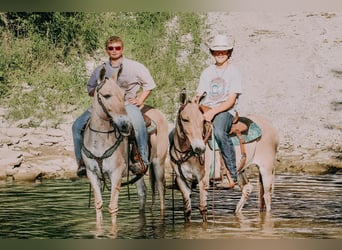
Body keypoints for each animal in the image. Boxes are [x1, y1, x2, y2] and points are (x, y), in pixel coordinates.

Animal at [168, 90, 278, 223]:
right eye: (185, 119)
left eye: (202, 121)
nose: (200, 149)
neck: (185, 152)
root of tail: (271, 126)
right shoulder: (182, 180)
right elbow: (187, 211)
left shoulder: (203, 180)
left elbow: (203, 208)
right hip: (240, 170)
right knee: (248, 188)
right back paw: (236, 212)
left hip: (266, 169)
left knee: (267, 196)